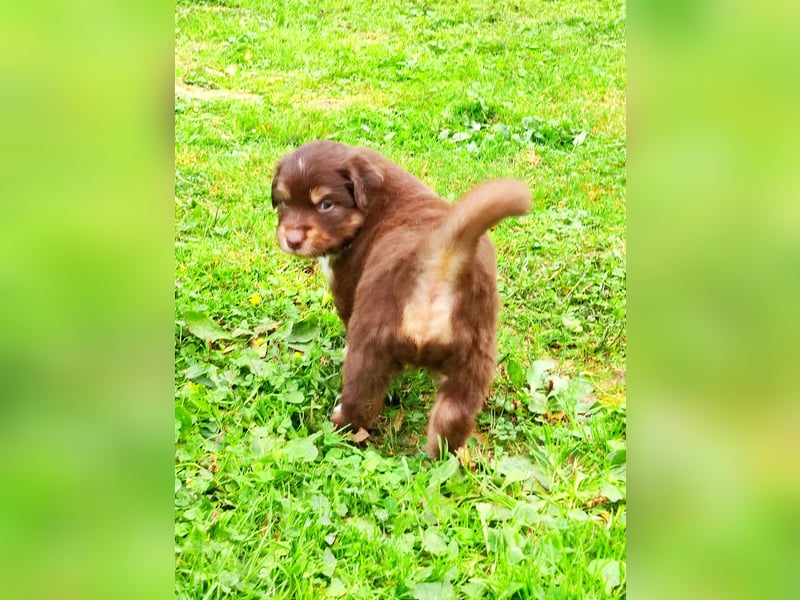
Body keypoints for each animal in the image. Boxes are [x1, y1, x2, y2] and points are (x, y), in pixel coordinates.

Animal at [272, 142, 528, 460]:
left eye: (325, 205)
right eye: (284, 202)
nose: (292, 240)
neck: (374, 204)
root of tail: (441, 255)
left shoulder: (345, 288)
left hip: (371, 342)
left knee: (361, 402)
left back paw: (338, 423)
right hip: (474, 352)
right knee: (453, 418)